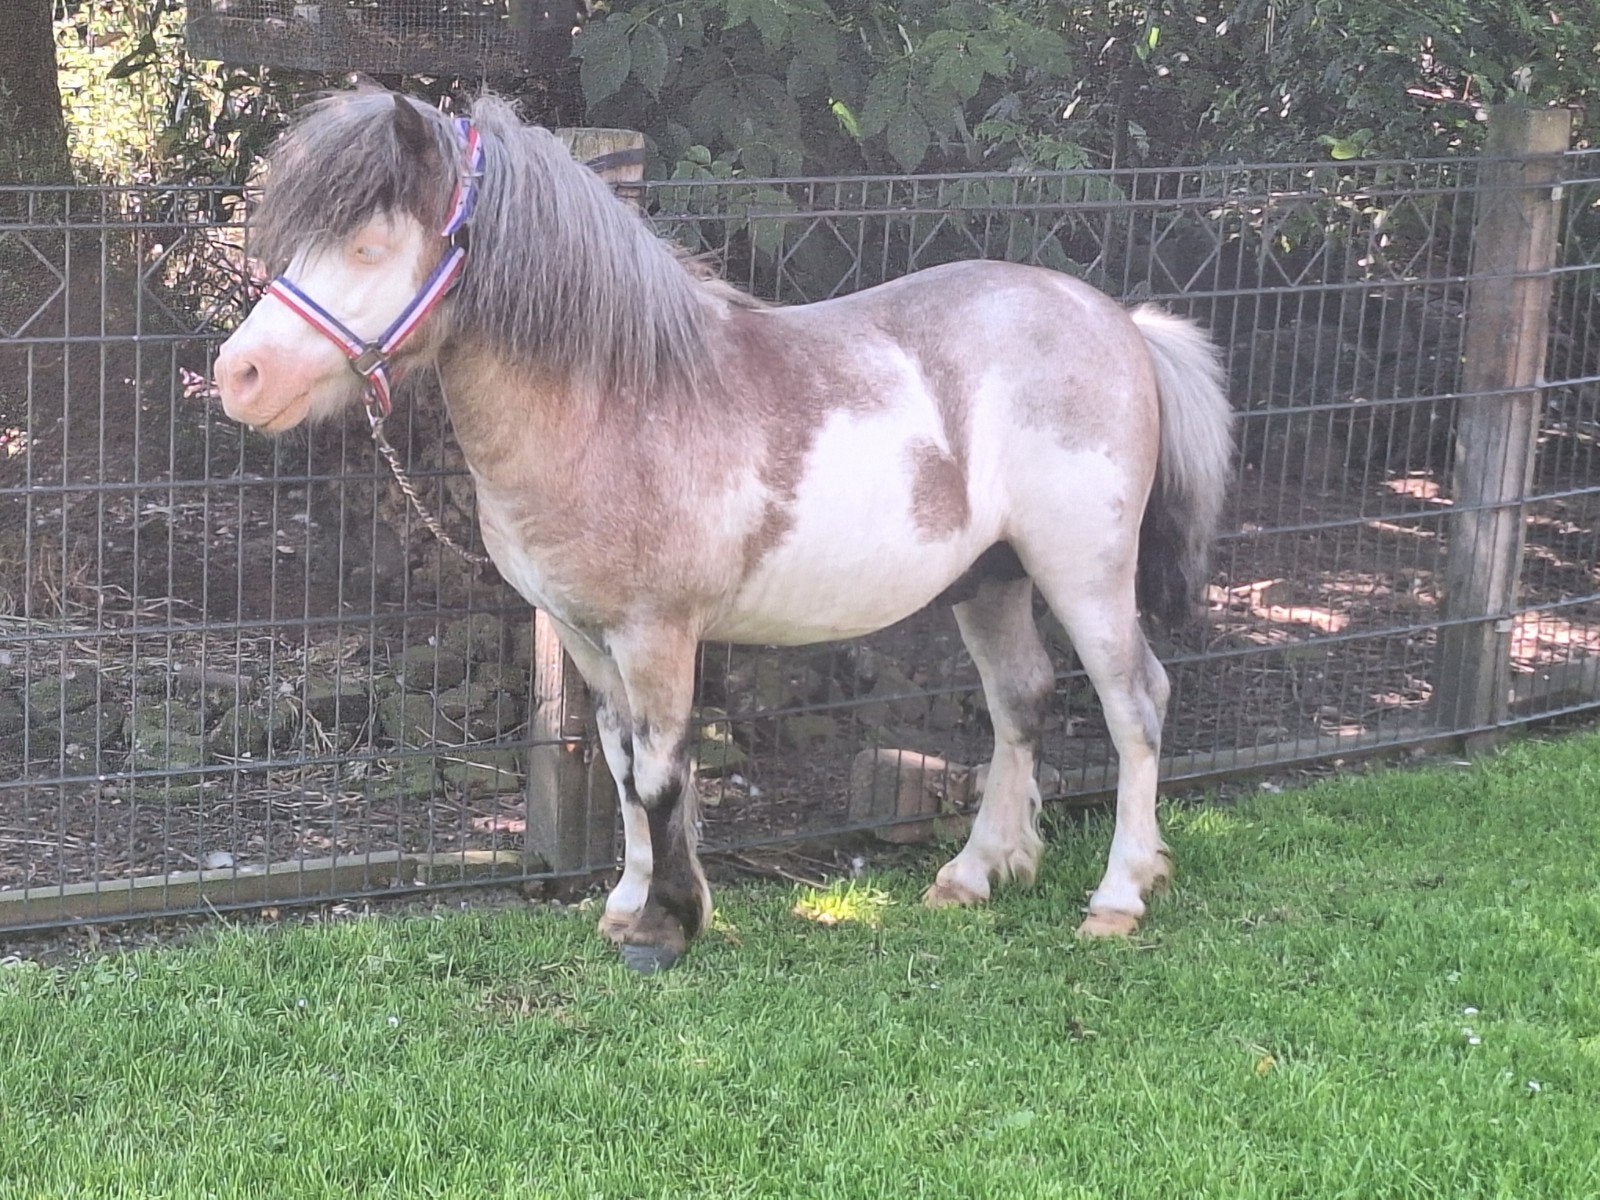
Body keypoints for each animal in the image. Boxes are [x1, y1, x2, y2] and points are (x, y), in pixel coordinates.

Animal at [213, 91, 1233, 973]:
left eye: (369, 243)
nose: (240, 375)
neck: (619, 401)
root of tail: (1119, 322)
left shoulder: (658, 636)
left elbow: (664, 775)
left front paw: (667, 927)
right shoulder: (587, 639)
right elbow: (622, 765)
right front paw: (626, 905)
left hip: (1085, 573)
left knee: (1136, 704)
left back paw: (1119, 896)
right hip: (992, 580)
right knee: (1019, 702)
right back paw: (976, 873)